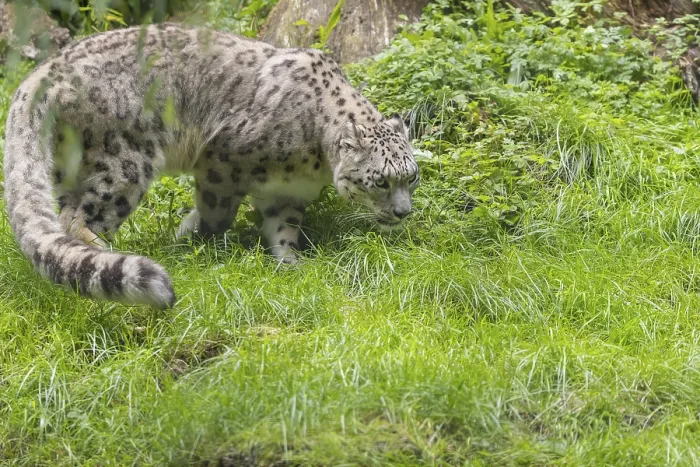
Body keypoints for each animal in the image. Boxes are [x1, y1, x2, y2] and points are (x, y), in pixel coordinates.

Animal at [3, 23, 420, 309]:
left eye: (411, 178)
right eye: (381, 181)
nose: (403, 213)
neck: (312, 164)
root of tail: (48, 69)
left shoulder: (288, 194)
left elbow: (283, 229)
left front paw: (291, 264)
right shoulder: (220, 162)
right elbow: (217, 212)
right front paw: (197, 237)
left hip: (69, 167)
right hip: (125, 163)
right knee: (78, 216)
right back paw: (107, 253)